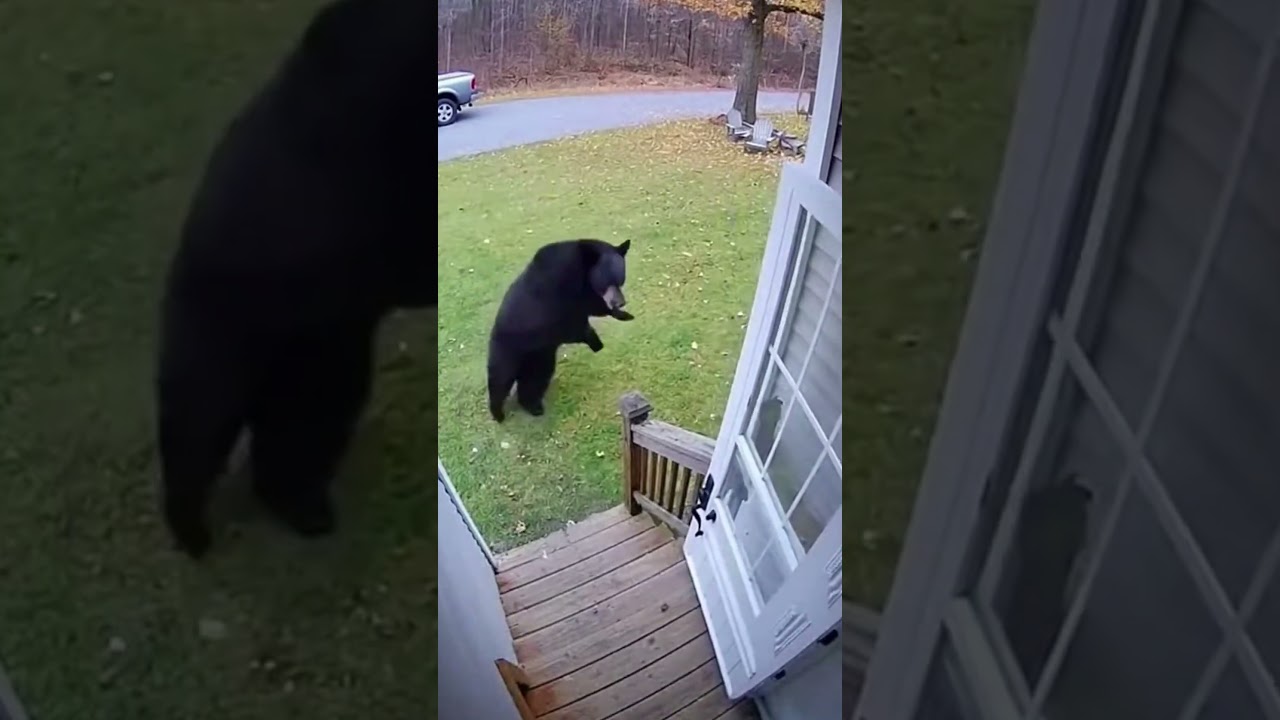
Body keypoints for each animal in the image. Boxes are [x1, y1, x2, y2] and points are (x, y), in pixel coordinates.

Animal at [155, 0, 433, 559]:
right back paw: (195, 527)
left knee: (304, 418)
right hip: (237, 324)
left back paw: (298, 504)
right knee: (202, 418)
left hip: (315, 340)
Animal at [487, 239, 634, 422]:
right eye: (607, 281)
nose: (620, 302)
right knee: (500, 380)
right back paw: (498, 413)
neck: (582, 270)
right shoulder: (560, 286)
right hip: (508, 350)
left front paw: (622, 315)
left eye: (621, 280)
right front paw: (594, 336)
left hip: (541, 357)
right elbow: (574, 320)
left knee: (535, 380)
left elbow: (591, 308)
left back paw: (533, 406)